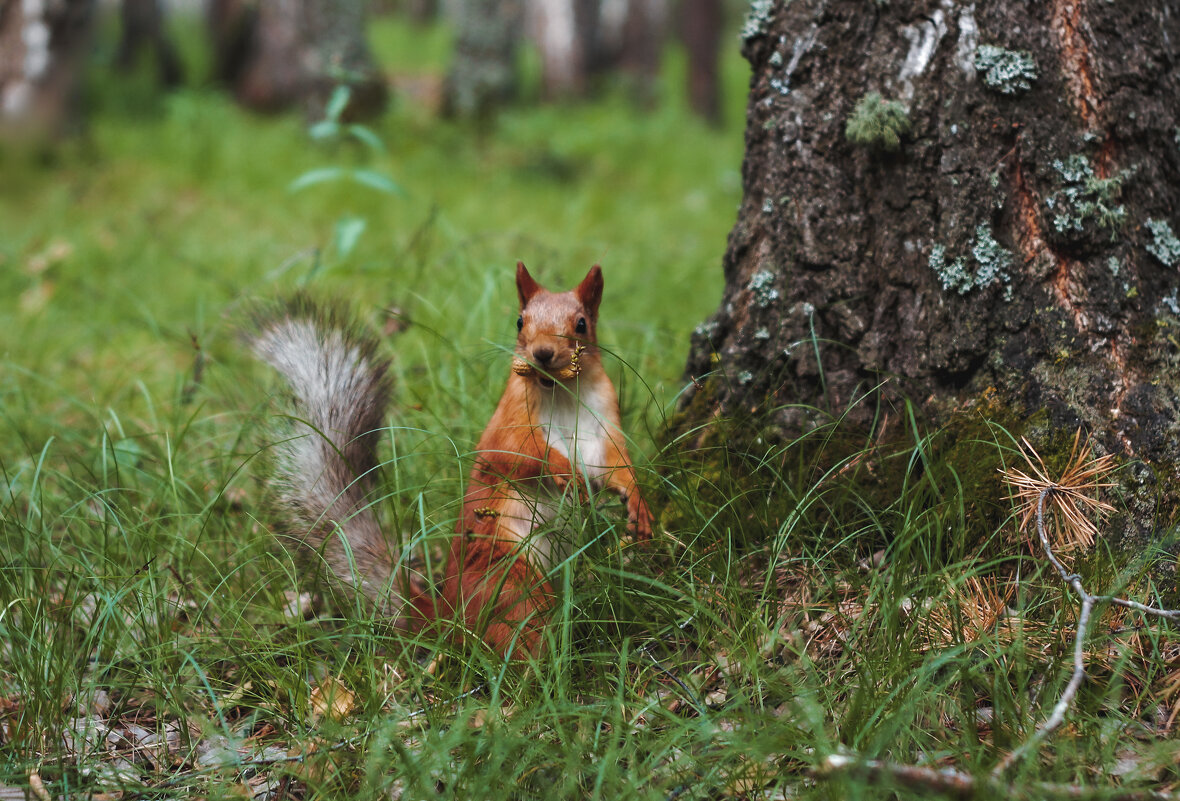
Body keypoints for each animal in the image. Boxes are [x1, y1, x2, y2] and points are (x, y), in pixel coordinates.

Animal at [251, 263, 656, 655]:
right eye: (520, 321)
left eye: (582, 323)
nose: (542, 353)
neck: (563, 392)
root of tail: (447, 615)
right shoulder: (508, 423)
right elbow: (518, 452)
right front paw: (564, 472)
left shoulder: (603, 423)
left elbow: (615, 464)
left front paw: (638, 505)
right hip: (509, 583)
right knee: (518, 630)